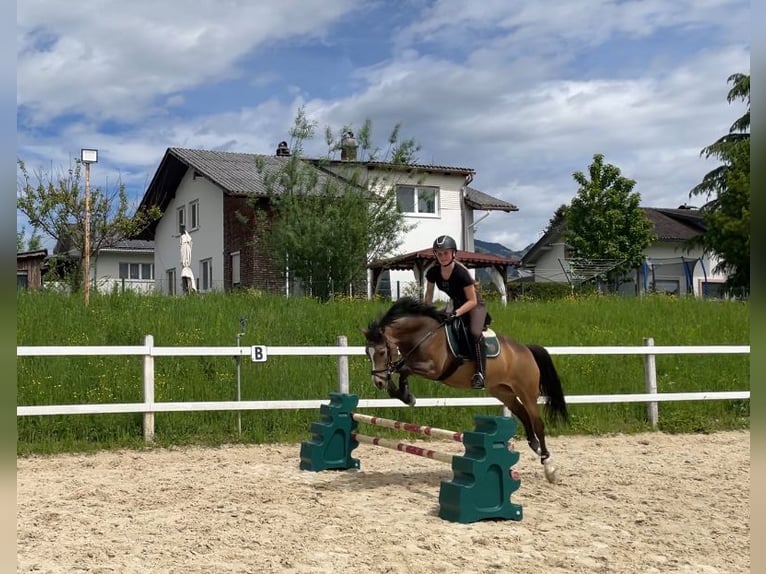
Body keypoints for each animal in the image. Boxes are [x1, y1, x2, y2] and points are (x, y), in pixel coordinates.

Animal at [360, 300, 568, 484]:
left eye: (381, 352)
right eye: (367, 353)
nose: (377, 382)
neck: (424, 335)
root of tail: (525, 349)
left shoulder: (434, 370)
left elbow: (404, 369)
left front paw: (405, 395)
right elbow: (400, 372)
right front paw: (403, 394)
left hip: (526, 392)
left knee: (537, 422)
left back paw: (549, 466)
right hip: (503, 392)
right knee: (524, 415)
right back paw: (535, 446)